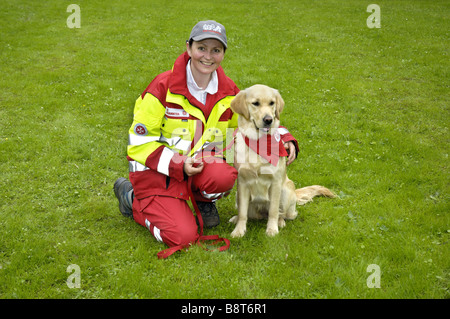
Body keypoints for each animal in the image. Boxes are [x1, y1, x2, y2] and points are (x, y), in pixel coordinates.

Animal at [229, 85, 334, 238]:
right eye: (255, 103)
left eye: (272, 103)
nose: (268, 119)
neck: (259, 142)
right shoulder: (242, 182)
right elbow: (243, 212)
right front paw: (239, 230)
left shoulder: (276, 182)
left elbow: (273, 210)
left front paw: (272, 229)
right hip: (239, 196)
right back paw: (235, 219)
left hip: (286, 191)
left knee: (283, 214)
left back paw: (280, 222)